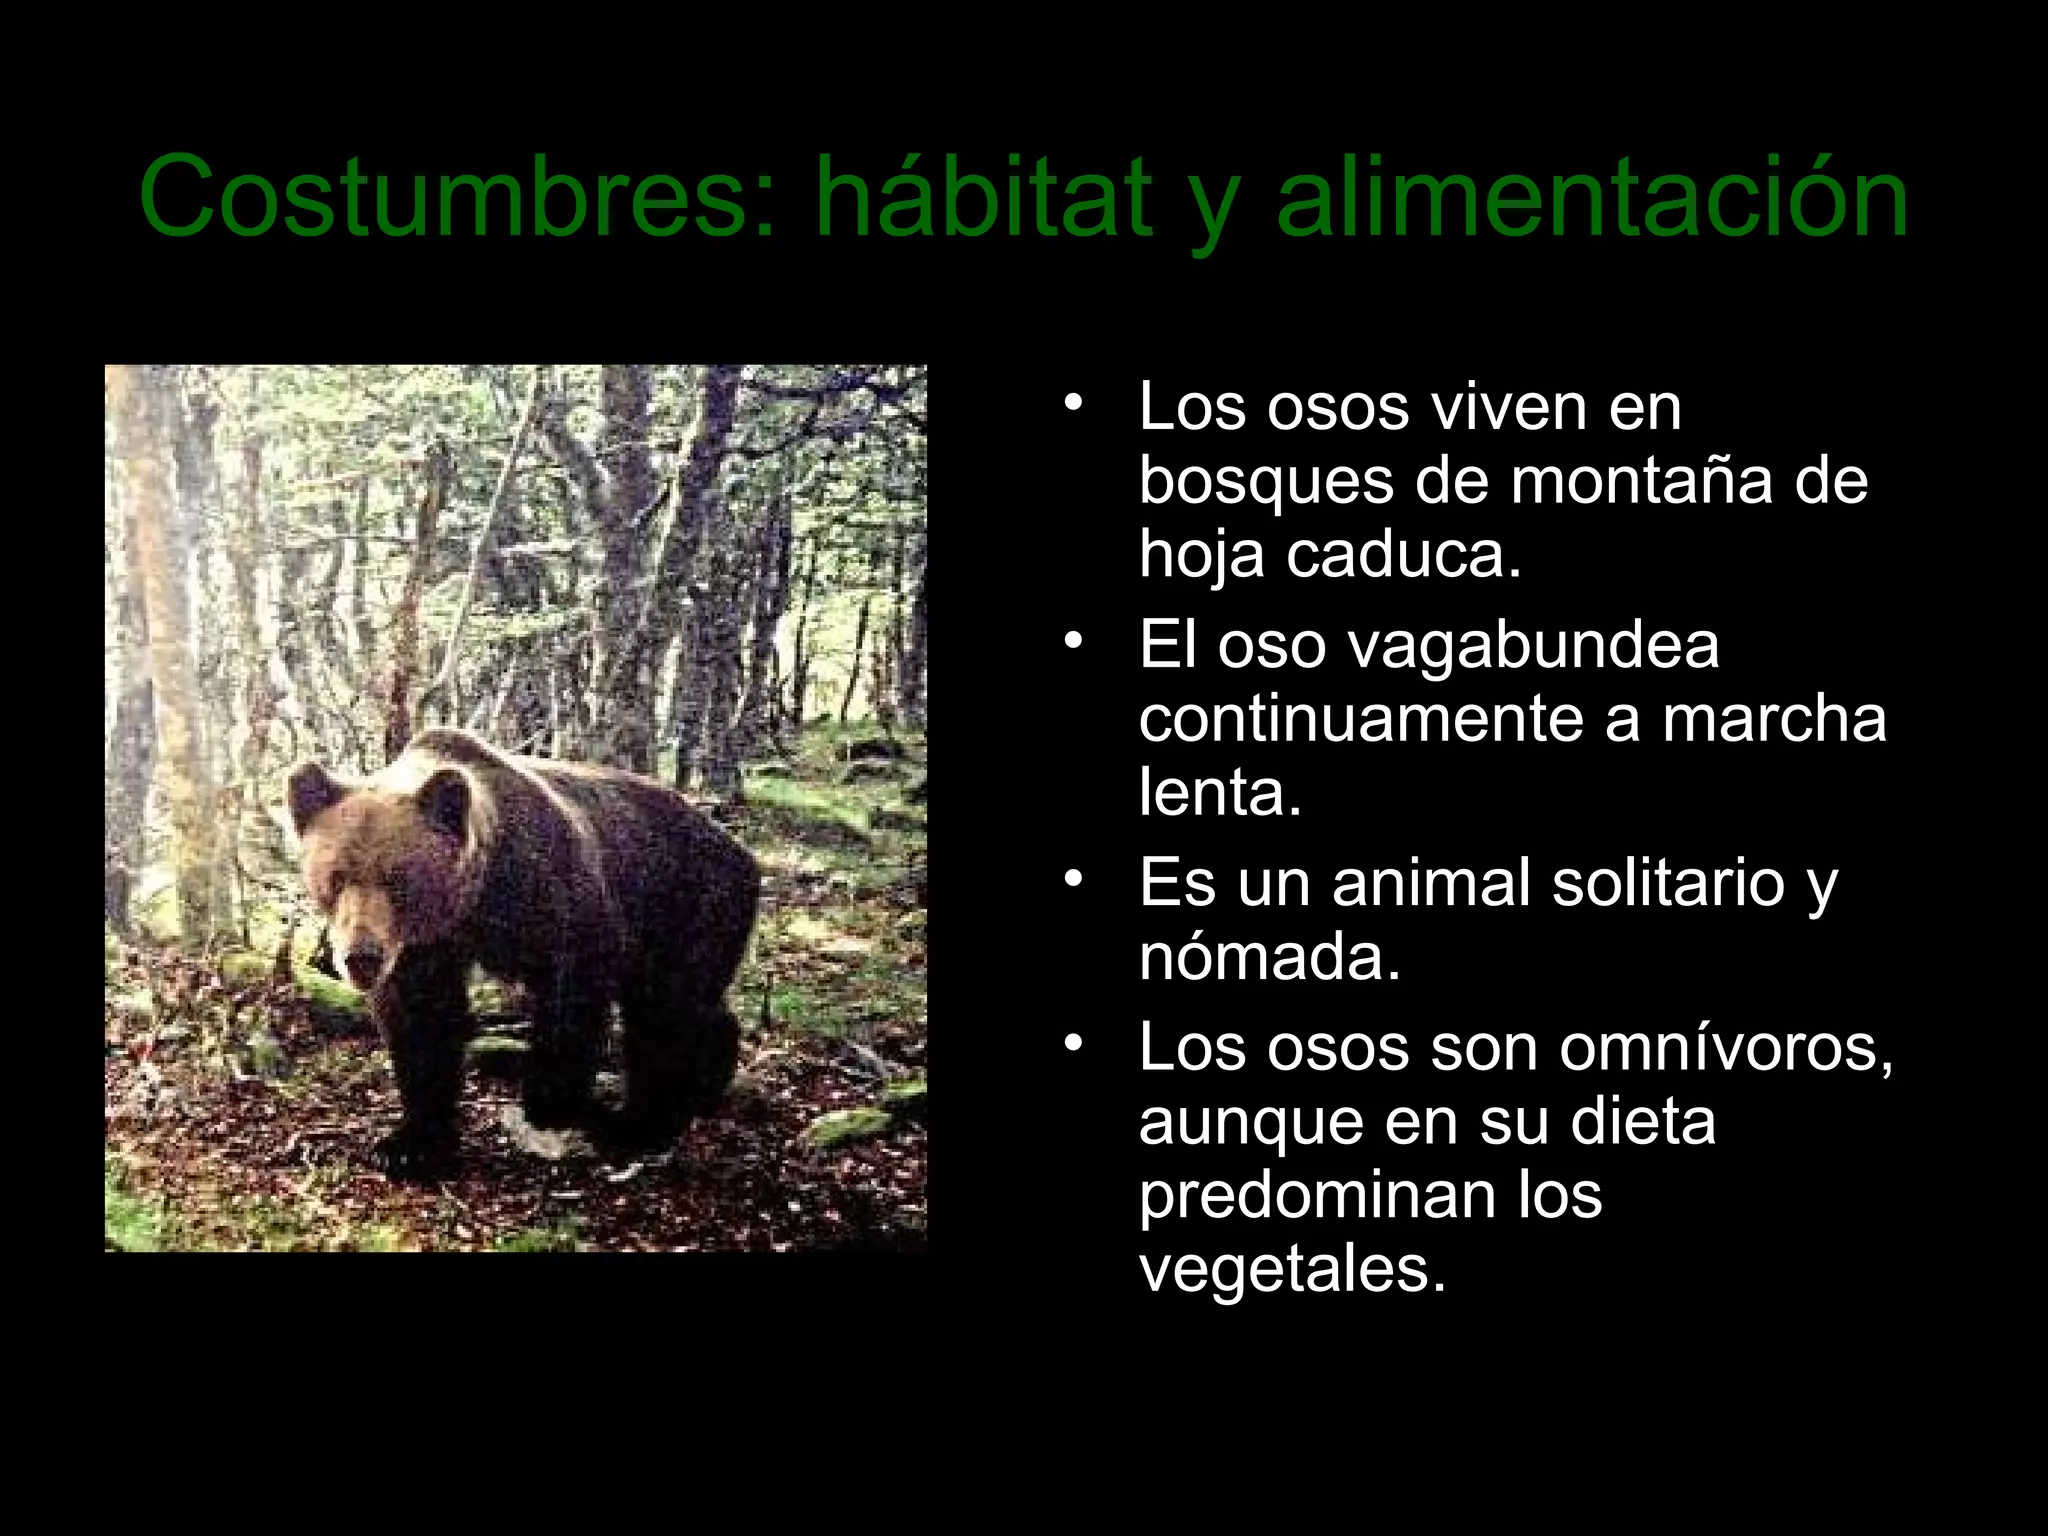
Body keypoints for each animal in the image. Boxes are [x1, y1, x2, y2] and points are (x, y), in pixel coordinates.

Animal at [284, 727, 760, 1180]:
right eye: (336, 877)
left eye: (398, 878)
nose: (361, 956)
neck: (479, 897)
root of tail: (739, 849)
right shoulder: (426, 945)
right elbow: (421, 1020)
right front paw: (410, 1145)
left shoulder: (554, 892)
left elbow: (572, 991)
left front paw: (551, 1102)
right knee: (692, 1005)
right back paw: (707, 1081)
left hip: (691, 903)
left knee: (665, 1011)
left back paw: (638, 1124)